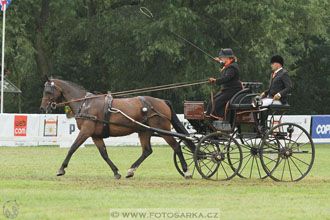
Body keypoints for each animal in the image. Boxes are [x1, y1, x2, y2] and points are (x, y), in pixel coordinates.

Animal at [40, 76, 193, 180]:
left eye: (48, 91)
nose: (42, 108)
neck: (85, 104)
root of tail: (162, 102)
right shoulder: (95, 135)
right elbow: (104, 153)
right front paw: (116, 172)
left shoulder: (86, 131)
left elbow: (72, 148)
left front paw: (61, 169)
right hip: (144, 131)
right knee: (147, 151)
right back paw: (130, 171)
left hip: (163, 130)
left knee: (176, 147)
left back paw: (186, 171)